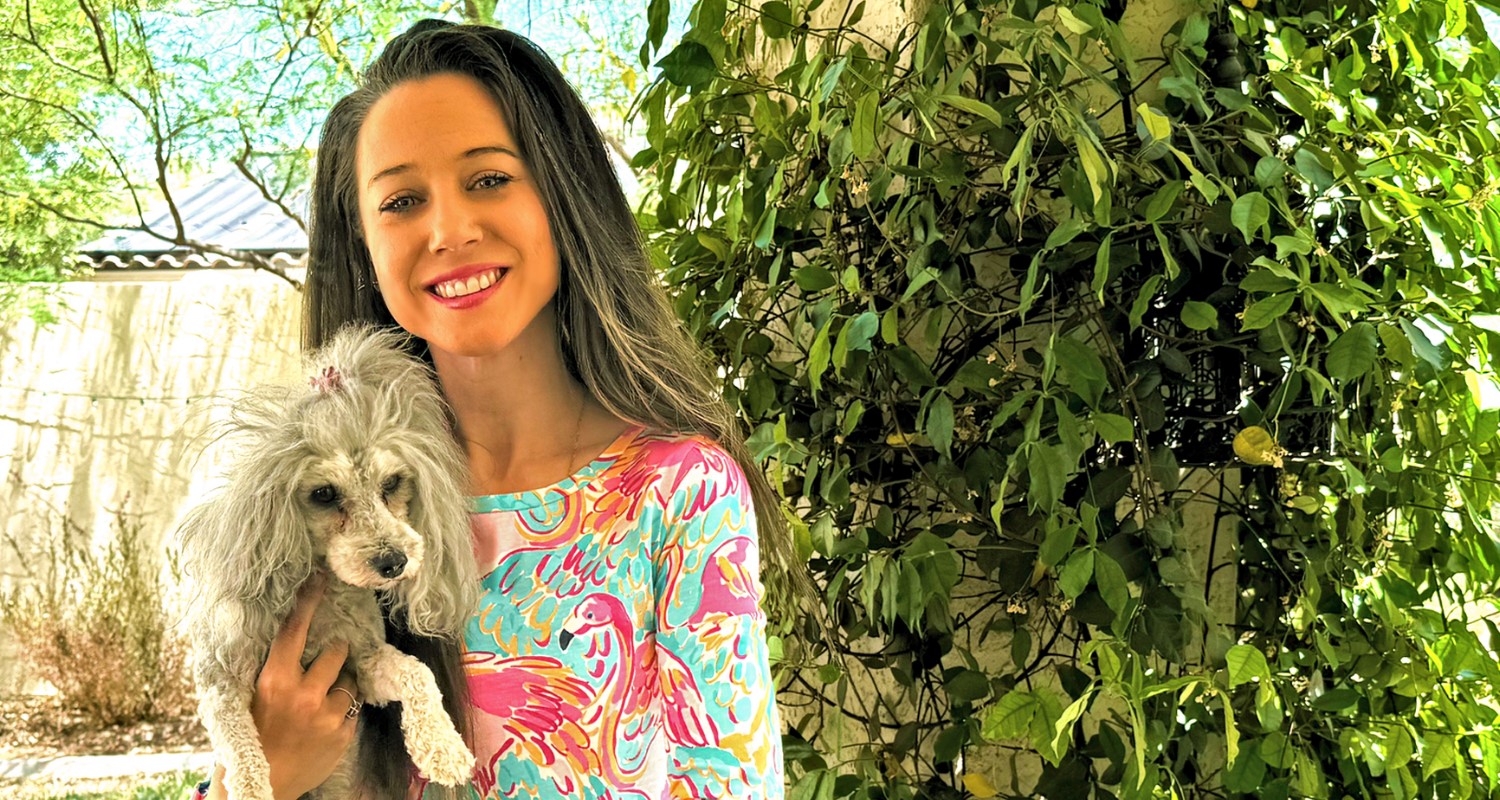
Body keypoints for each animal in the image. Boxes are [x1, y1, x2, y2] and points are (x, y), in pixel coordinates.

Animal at [178, 326, 477, 800]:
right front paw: (251, 787)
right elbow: (240, 745)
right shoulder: (221, 680)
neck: (324, 599)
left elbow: (417, 673)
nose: (394, 562)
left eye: (392, 483)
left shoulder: (364, 666)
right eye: (323, 494)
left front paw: (444, 748)